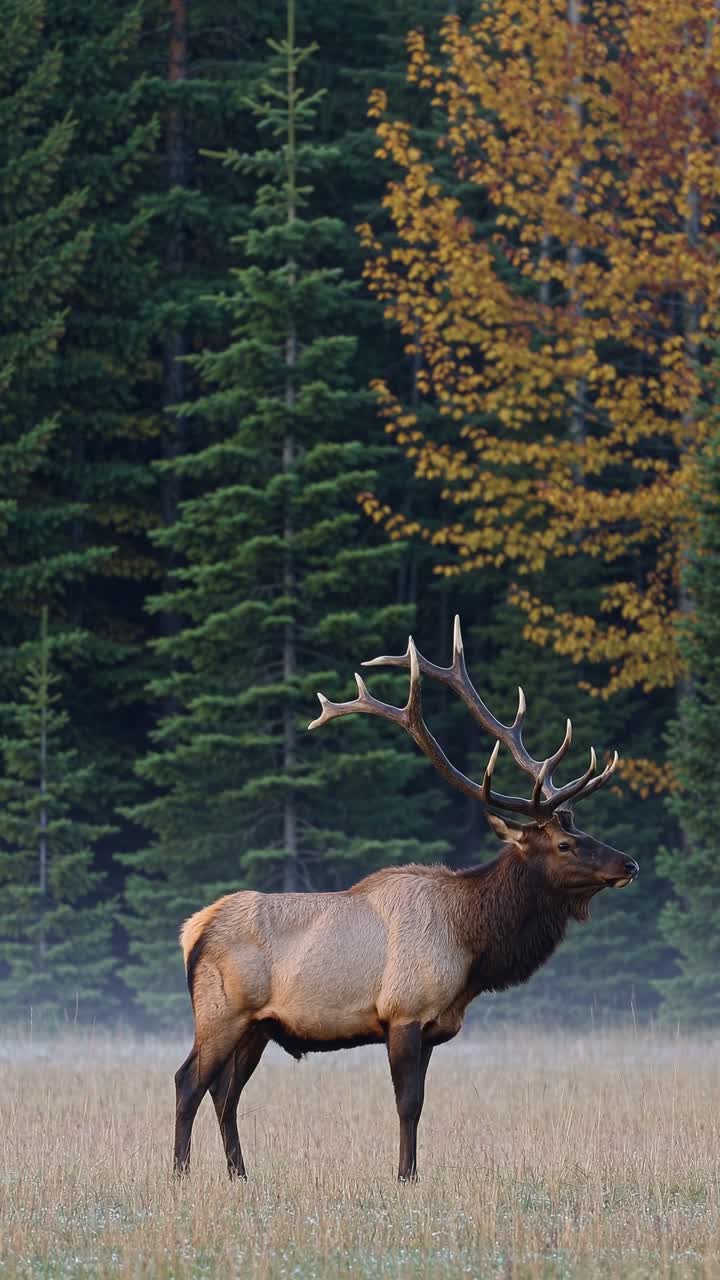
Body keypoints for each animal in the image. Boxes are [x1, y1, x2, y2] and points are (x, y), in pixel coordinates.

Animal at [173, 618, 638, 1182]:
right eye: (566, 844)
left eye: (585, 831)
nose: (629, 864)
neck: (472, 943)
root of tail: (193, 929)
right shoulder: (403, 1011)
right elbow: (407, 1103)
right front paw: (405, 1176)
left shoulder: (436, 1026)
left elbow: (420, 1102)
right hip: (220, 1012)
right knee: (188, 1083)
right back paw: (179, 1175)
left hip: (256, 1027)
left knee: (226, 1093)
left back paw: (241, 1175)